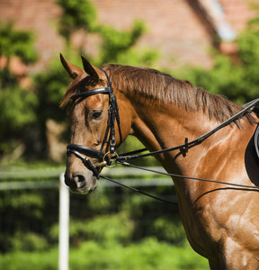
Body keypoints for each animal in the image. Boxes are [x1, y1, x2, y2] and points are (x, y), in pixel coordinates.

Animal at [60, 53, 259, 268]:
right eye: (69, 114)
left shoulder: (239, 255)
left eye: (95, 114)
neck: (213, 153)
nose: (75, 178)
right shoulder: (214, 258)